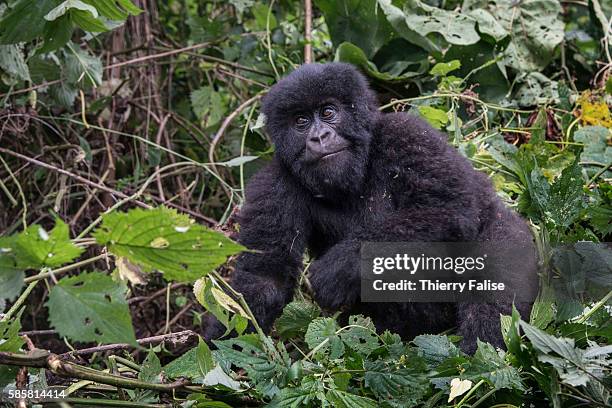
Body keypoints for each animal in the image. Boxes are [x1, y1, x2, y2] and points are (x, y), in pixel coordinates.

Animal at [204, 62, 536, 352]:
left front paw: (340, 267)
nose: (319, 136)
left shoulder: (406, 133)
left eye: (328, 112)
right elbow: (264, 277)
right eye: (300, 121)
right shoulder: (274, 183)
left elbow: (449, 209)